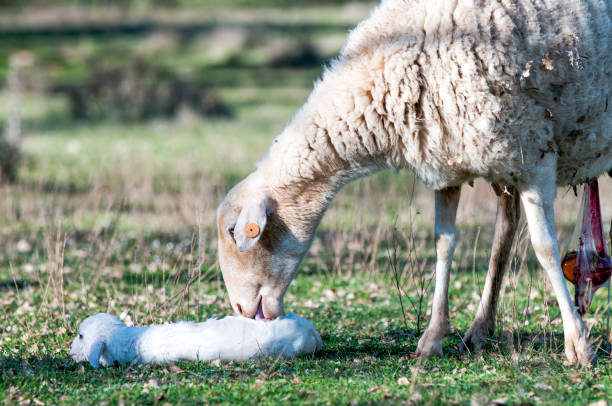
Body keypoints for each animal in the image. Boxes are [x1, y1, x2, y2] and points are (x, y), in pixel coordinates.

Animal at [215, 0, 608, 368]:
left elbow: (545, 248)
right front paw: (432, 337)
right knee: (504, 231)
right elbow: (443, 245)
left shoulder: (535, 156)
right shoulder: (448, 163)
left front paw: (578, 343)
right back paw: (479, 329)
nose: (240, 309)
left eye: (237, 232)